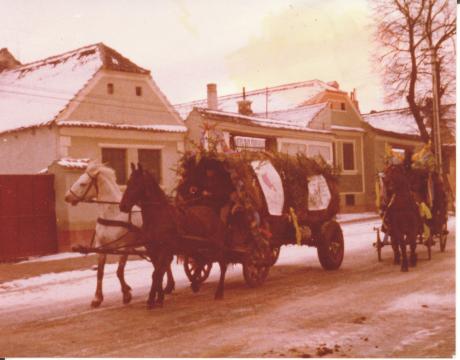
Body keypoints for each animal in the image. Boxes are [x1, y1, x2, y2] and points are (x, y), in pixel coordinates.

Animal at [66, 162, 176, 306]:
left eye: (83, 183)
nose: (66, 197)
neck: (113, 214)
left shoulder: (125, 247)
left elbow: (119, 271)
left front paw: (126, 294)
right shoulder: (102, 247)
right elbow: (100, 272)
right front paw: (97, 298)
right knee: (164, 263)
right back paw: (168, 286)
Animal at [118, 165, 226, 308]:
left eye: (136, 184)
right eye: (128, 182)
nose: (122, 206)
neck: (157, 217)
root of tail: (213, 213)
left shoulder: (164, 250)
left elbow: (157, 273)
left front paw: (152, 300)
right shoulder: (152, 251)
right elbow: (158, 273)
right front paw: (159, 297)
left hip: (215, 247)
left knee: (222, 265)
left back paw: (219, 292)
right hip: (197, 248)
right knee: (202, 262)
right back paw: (195, 284)